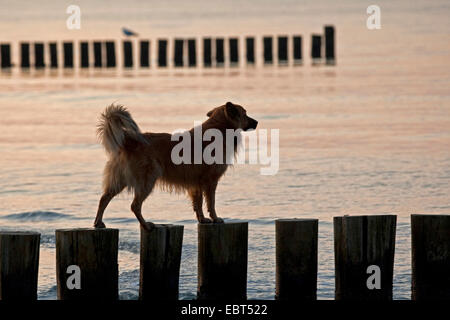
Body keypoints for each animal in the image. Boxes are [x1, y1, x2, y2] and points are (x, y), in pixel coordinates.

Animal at [93, 101, 258, 229]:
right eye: (245, 114)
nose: (256, 122)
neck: (219, 129)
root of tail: (129, 141)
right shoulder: (210, 180)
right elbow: (211, 203)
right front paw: (215, 218)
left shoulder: (196, 182)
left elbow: (198, 203)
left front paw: (202, 219)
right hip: (148, 179)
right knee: (135, 205)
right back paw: (146, 225)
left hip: (120, 179)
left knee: (104, 198)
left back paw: (98, 222)